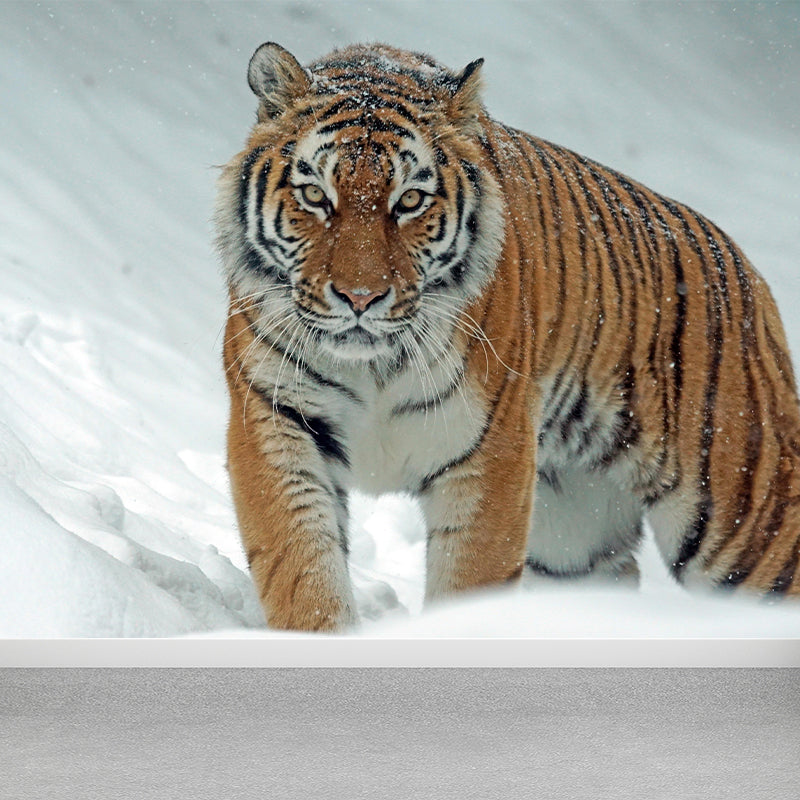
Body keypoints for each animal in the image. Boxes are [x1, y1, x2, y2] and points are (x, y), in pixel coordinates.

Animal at [215, 41, 800, 631]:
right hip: (573, 538)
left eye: (410, 201)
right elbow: (304, 571)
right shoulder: (277, 422)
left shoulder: (490, 454)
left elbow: (469, 582)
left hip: (745, 520)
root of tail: (748, 273)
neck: (373, 366)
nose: (360, 298)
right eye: (315, 195)